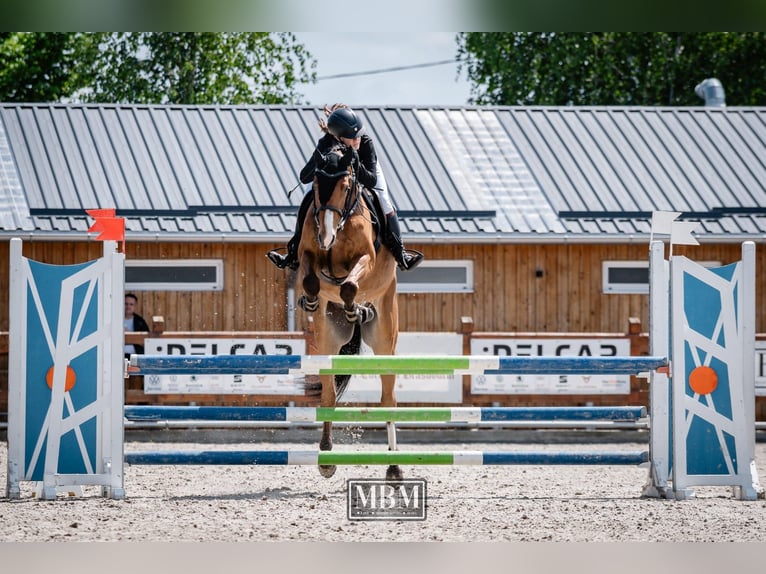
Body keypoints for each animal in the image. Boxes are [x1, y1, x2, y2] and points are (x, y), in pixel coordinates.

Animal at [297, 145, 402, 481]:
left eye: (345, 187)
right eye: (316, 186)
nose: (326, 238)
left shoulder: (366, 257)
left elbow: (349, 285)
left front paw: (356, 307)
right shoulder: (306, 253)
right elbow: (311, 278)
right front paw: (310, 301)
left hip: (385, 340)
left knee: (388, 400)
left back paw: (394, 468)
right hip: (328, 341)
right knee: (329, 395)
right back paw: (326, 457)